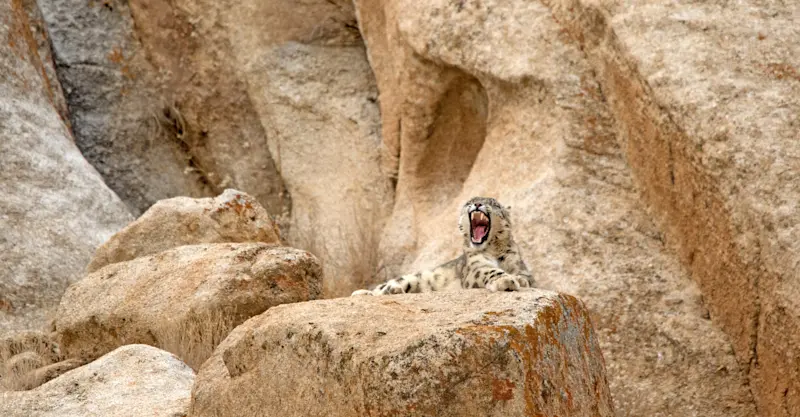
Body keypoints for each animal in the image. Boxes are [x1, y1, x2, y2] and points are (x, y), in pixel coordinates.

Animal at [351, 196, 535, 296]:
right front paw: (506, 280)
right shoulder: (476, 267)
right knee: (383, 287)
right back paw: (366, 292)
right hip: (412, 278)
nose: (477, 205)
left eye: (493, 203)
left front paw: (519, 280)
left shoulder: (519, 265)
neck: (494, 249)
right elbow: (490, 271)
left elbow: (525, 277)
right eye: (470, 202)